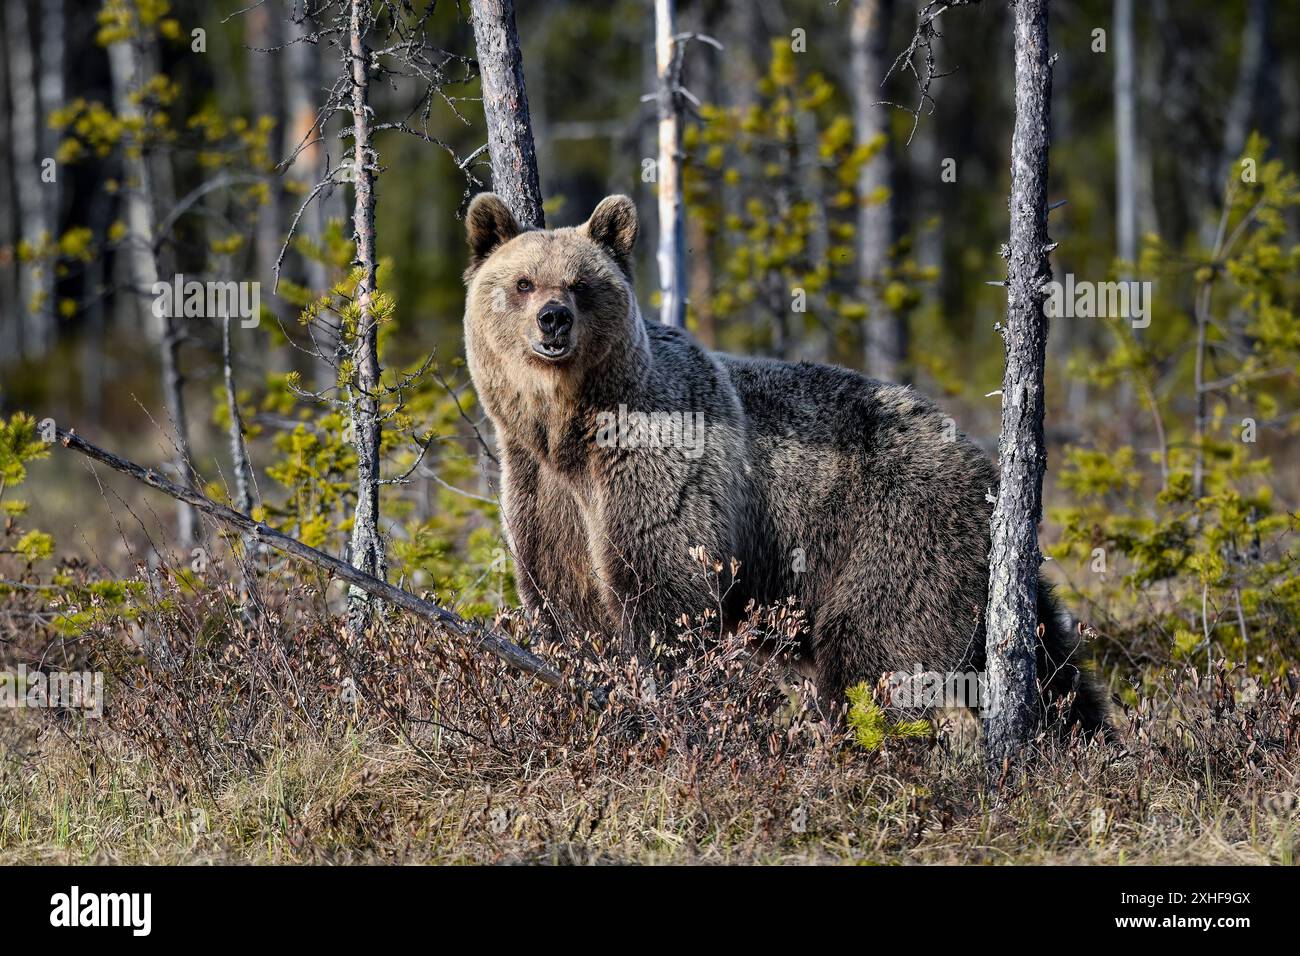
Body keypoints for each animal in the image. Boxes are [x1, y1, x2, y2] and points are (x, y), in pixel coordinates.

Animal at [461, 191, 1108, 733]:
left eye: (580, 283)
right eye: (523, 282)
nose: (553, 318)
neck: (568, 430)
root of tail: (982, 466)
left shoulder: (658, 470)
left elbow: (667, 600)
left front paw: (673, 705)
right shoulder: (542, 494)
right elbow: (570, 611)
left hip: (895, 531)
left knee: (875, 650)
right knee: (1053, 654)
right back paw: (1079, 731)